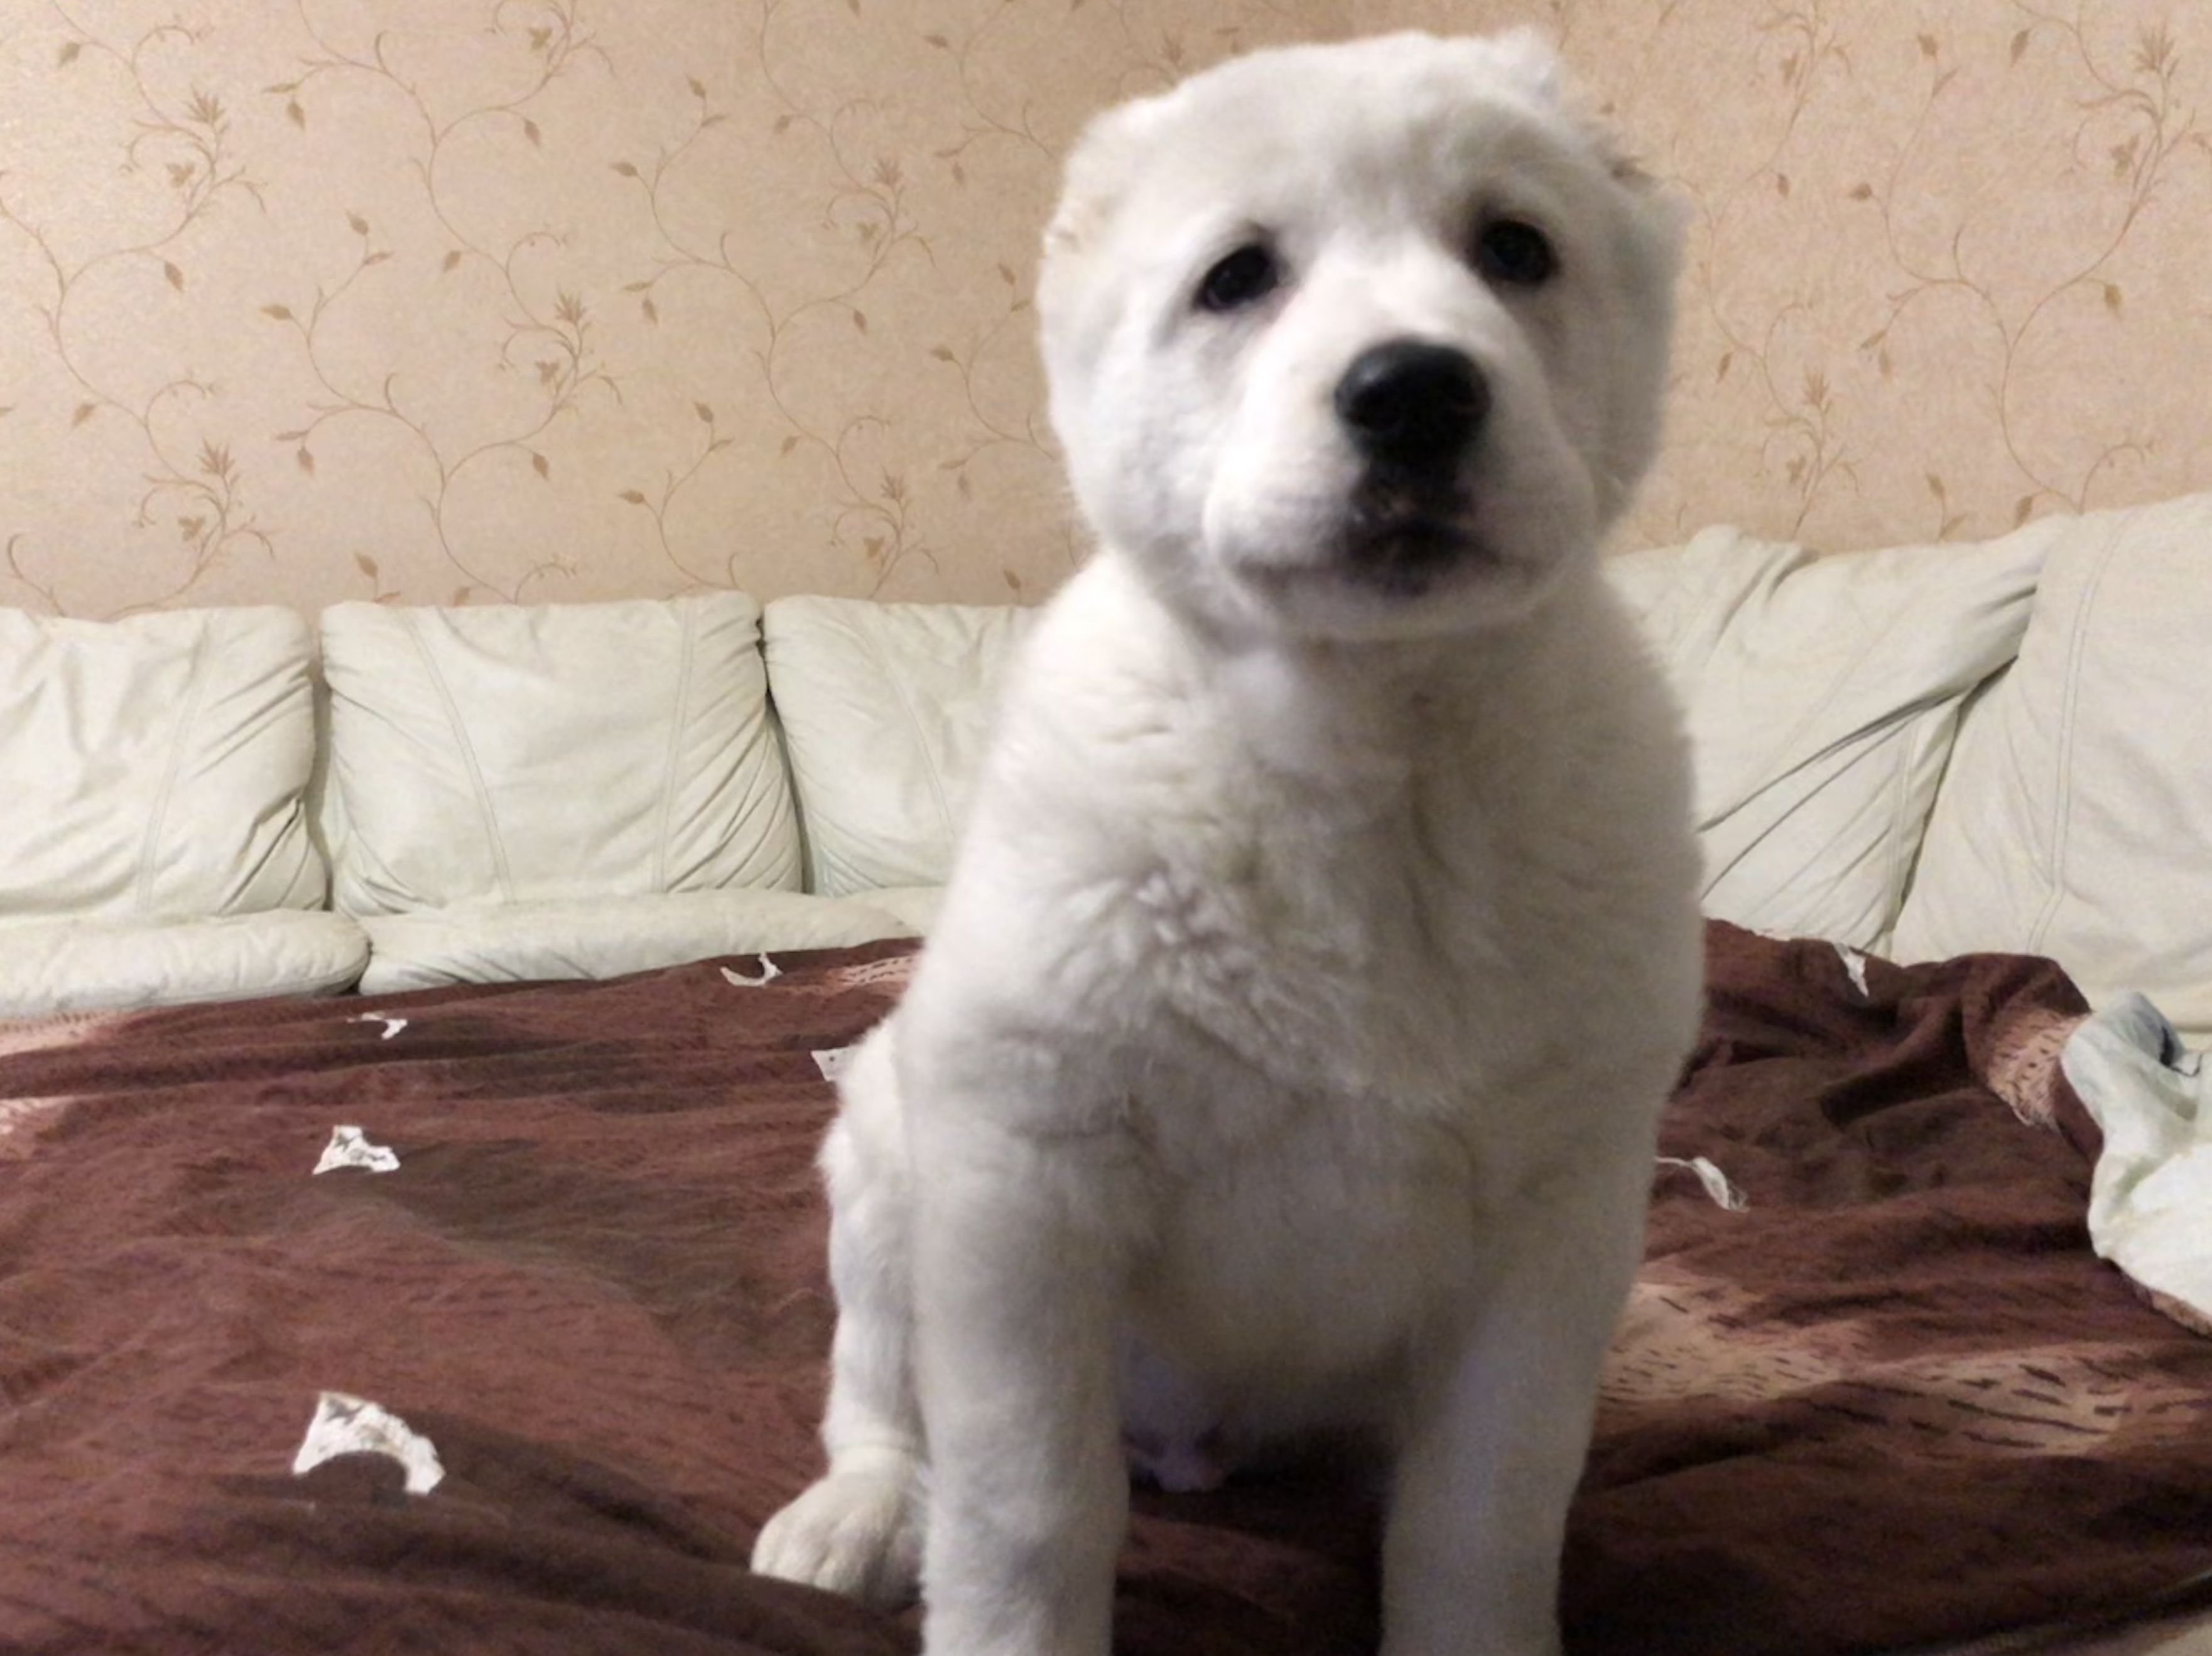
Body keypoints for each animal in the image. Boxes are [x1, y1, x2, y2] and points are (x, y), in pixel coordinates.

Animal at [752, 30, 1703, 1656]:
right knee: (879, 1398)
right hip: (882, 1160)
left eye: (1515, 248)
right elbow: (1026, 1505)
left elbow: (1487, 1512)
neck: (1371, 761)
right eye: (1238, 276)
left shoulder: (1560, 1218)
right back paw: (858, 1515)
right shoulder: (1021, 1181)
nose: (1415, 392)